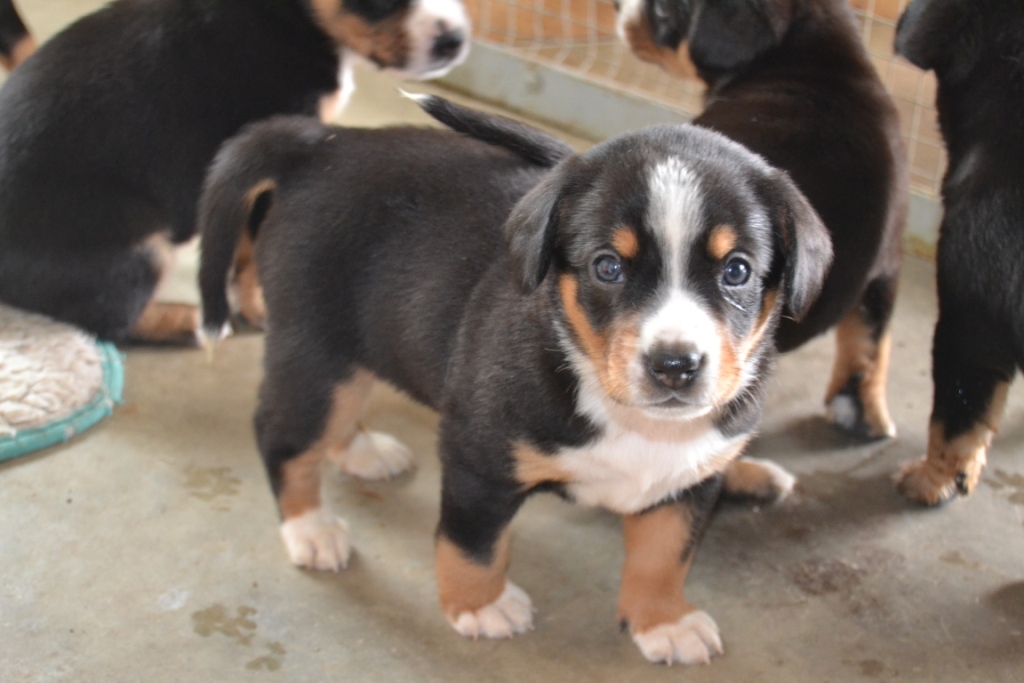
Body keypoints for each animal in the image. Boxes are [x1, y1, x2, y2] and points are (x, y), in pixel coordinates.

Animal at [0, 0, 468, 344]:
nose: (456, 40)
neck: (291, 16)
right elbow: (252, 249)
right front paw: (259, 309)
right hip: (141, 245)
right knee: (106, 321)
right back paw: (190, 323)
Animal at [197, 97, 831, 665]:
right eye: (607, 266)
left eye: (737, 270)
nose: (674, 364)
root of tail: (321, 143)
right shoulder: (478, 457)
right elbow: (473, 543)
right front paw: (479, 606)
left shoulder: (688, 479)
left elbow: (664, 552)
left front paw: (663, 621)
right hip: (315, 351)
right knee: (285, 435)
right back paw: (312, 528)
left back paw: (362, 452)